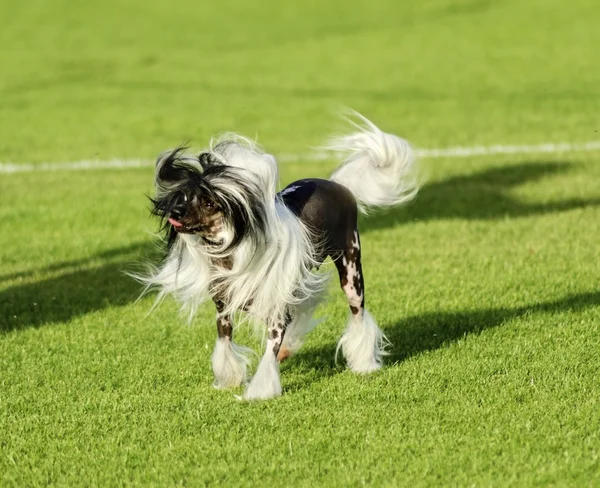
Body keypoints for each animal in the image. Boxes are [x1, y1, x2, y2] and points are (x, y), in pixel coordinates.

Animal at [137, 114, 418, 400]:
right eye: (184, 195)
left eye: (208, 202)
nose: (175, 212)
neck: (234, 252)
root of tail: (339, 184)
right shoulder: (224, 307)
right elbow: (225, 342)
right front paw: (229, 379)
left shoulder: (275, 312)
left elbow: (268, 353)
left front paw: (259, 393)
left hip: (351, 271)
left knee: (357, 313)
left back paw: (364, 364)